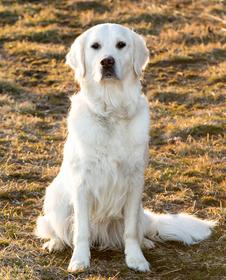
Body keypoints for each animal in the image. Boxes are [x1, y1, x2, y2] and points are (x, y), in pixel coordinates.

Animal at [34, 23, 215, 272]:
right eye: (95, 46)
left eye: (121, 45)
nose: (107, 62)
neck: (111, 110)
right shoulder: (82, 183)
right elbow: (81, 231)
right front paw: (80, 260)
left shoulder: (134, 181)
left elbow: (129, 232)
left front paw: (136, 259)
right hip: (56, 201)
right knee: (57, 229)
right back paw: (56, 243)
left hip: (139, 211)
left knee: (137, 230)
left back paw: (146, 242)